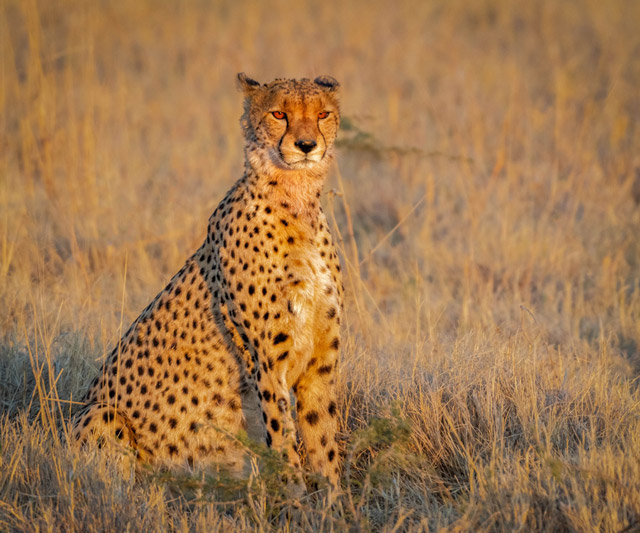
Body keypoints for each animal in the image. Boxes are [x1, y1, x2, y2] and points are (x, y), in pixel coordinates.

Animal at [71, 73, 344, 493]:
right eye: (279, 114)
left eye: (322, 114)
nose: (306, 145)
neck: (296, 201)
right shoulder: (266, 362)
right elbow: (283, 438)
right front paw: (296, 498)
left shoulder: (321, 361)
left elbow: (322, 438)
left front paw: (335, 502)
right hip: (101, 413)